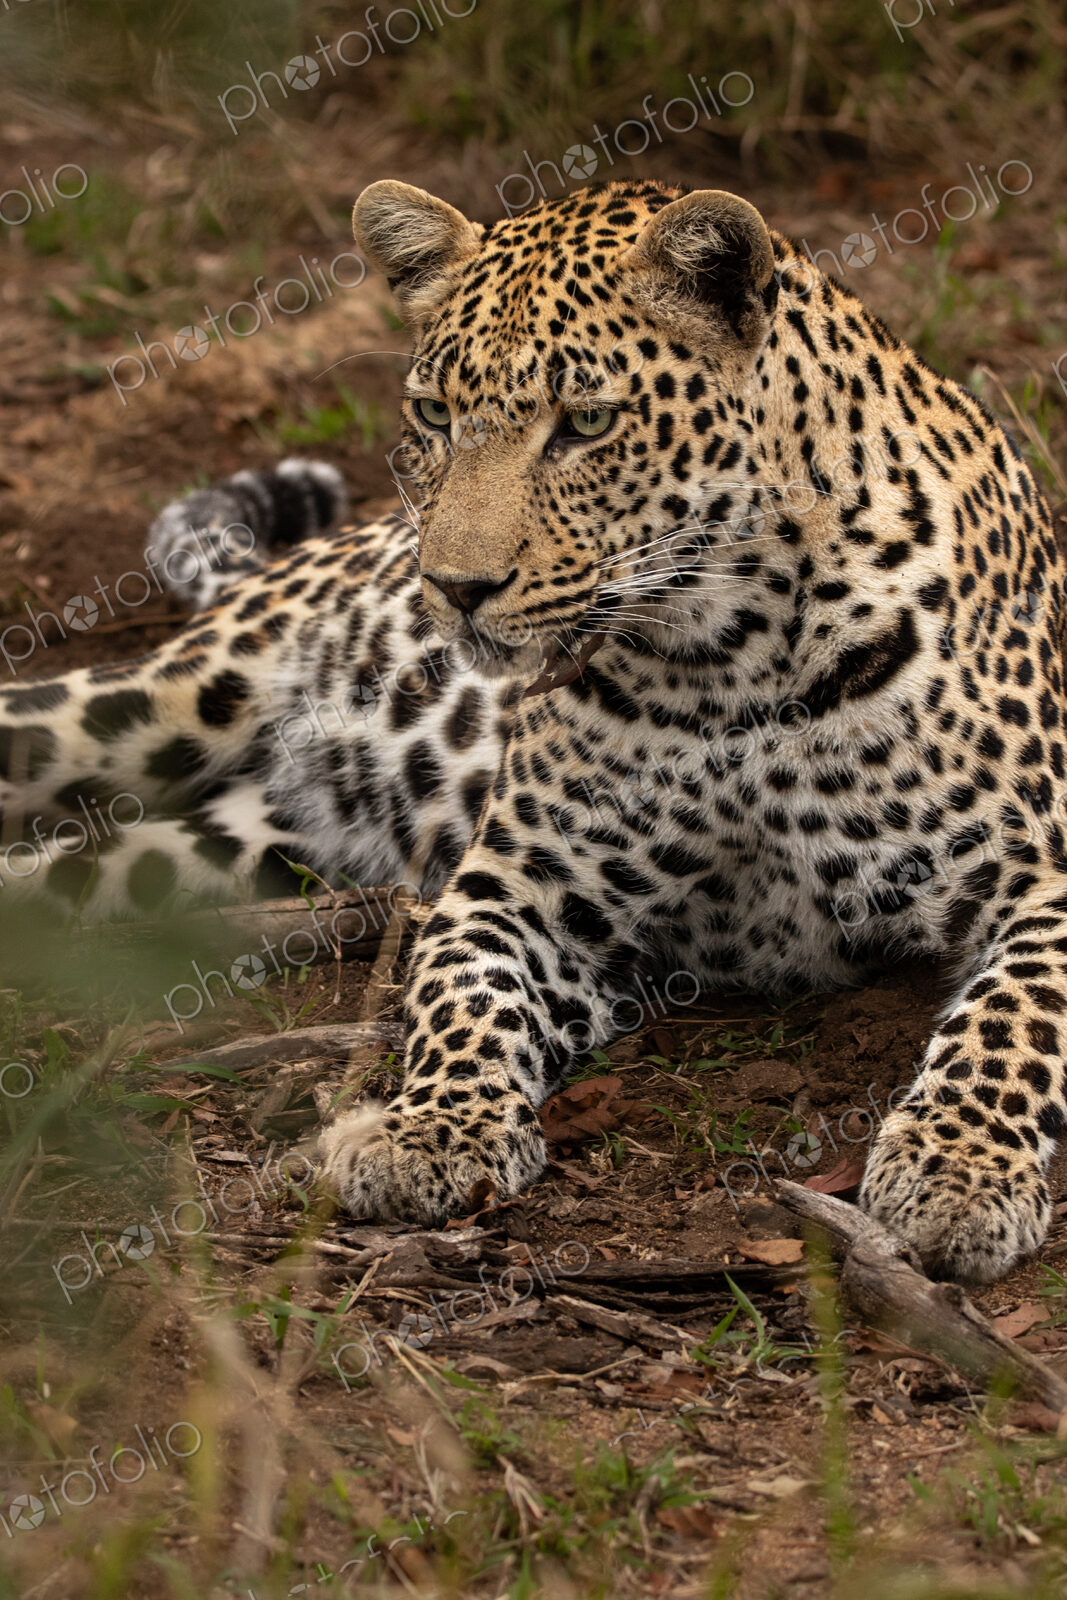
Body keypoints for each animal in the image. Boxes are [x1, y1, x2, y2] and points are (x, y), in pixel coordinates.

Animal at [1, 176, 1065, 1285]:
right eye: (434, 414)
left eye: (587, 422)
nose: (453, 587)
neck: (729, 656)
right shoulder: (519, 882)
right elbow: (463, 996)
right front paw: (432, 1130)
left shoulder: (1036, 873)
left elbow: (1012, 1018)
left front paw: (958, 1170)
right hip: (167, 700)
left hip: (231, 844)